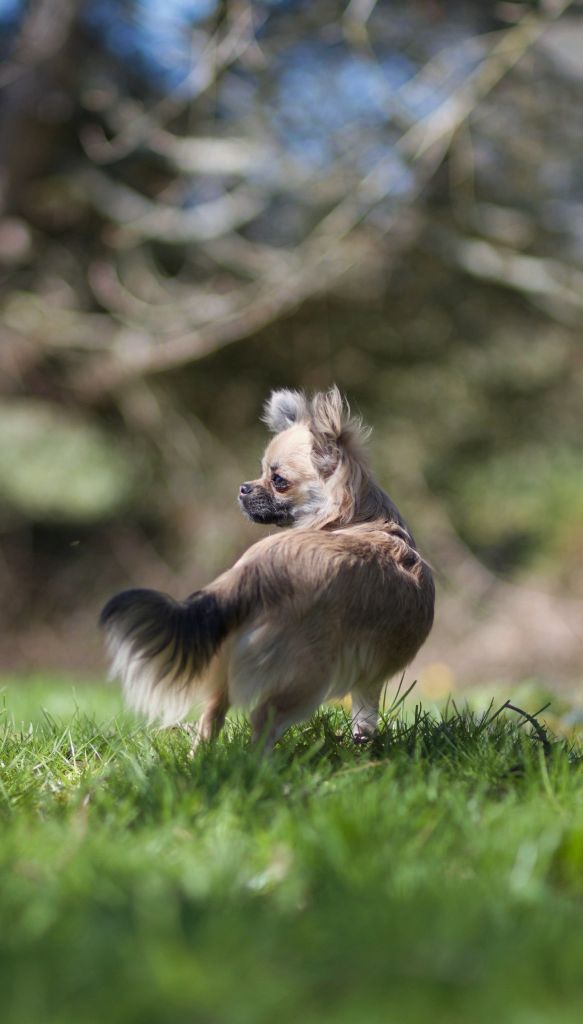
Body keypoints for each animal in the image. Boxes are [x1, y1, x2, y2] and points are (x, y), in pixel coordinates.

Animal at [100, 385, 432, 753]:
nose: (243, 487)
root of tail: (255, 574)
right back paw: (260, 763)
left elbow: (364, 714)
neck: (357, 517)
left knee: (212, 715)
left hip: (228, 663)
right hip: (308, 679)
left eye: (278, 480)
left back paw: (200, 758)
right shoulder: (369, 673)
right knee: (263, 721)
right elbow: (367, 711)